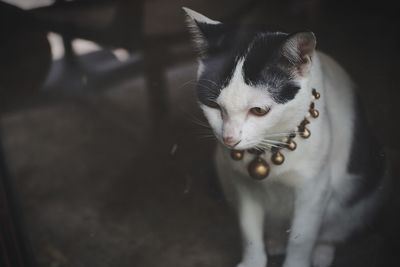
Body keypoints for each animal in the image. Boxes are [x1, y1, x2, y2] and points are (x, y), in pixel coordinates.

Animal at [184, 6, 390, 267]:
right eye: (213, 105)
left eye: (259, 110)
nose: (229, 139)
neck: (268, 150)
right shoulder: (243, 188)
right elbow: (249, 230)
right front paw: (253, 260)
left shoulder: (314, 190)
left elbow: (301, 238)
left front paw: (299, 258)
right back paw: (275, 242)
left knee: (333, 230)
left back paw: (322, 252)